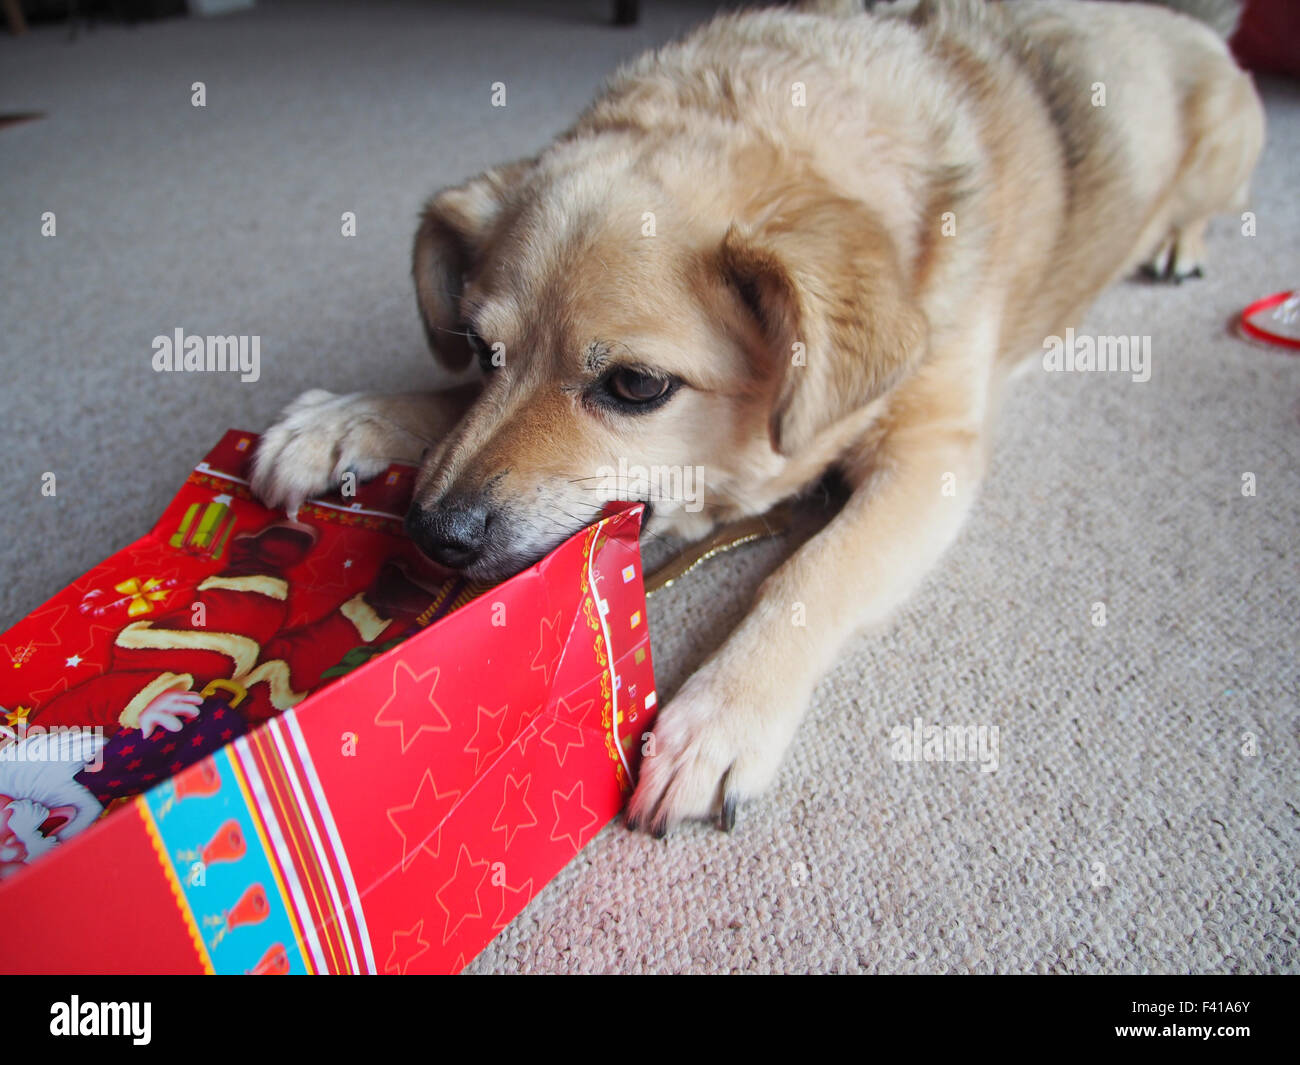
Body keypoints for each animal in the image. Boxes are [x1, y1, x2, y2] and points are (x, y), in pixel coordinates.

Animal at [248, 0, 1263, 832]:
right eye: (479, 346)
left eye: (635, 387)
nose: (431, 531)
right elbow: (444, 402)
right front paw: (347, 419)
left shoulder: (932, 456)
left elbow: (815, 569)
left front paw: (722, 714)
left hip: (1220, 164)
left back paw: (1177, 240)